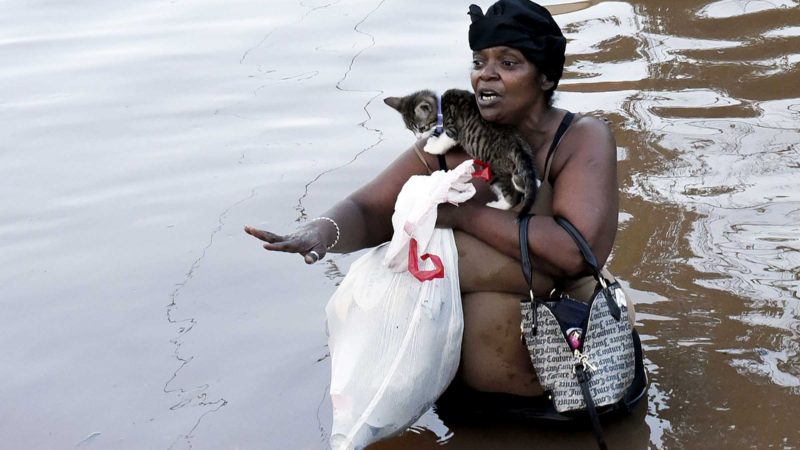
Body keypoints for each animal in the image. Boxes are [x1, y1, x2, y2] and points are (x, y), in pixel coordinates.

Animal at [382, 89, 536, 215]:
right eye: (411, 130)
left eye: (421, 128)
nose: (418, 137)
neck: (442, 106)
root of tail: (515, 144)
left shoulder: (452, 130)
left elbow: (444, 140)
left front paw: (431, 146)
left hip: (493, 168)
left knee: (511, 195)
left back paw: (499, 205)